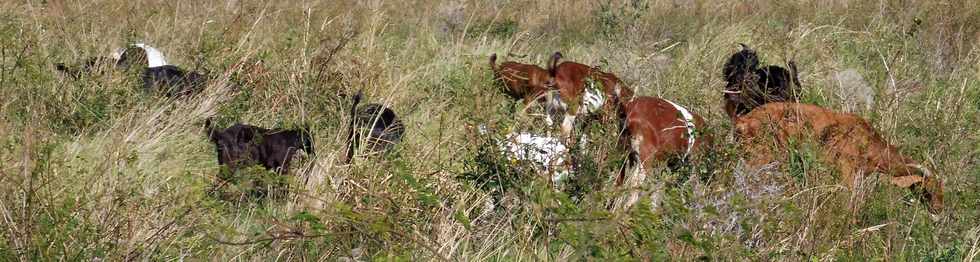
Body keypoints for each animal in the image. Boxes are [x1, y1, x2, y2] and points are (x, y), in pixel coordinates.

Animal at [740, 101, 944, 214]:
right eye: (929, 189)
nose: (939, 209)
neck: (869, 143)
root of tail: (743, 121)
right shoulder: (845, 172)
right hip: (762, 155)